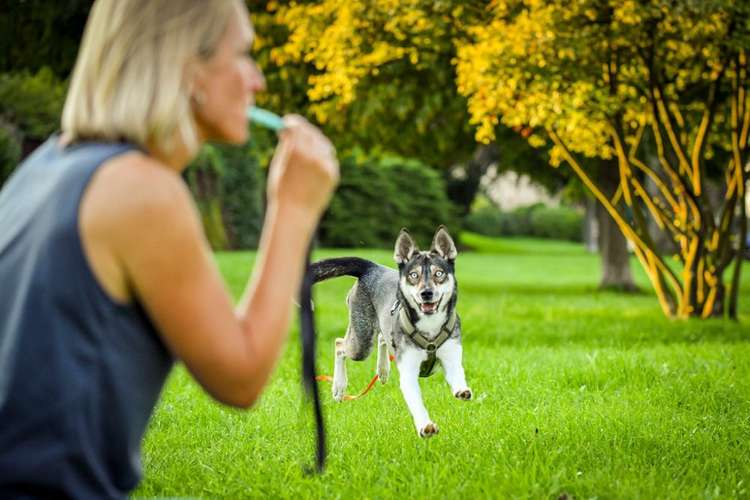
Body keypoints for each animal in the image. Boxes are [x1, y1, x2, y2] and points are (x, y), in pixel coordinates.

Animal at [312, 227, 470, 438]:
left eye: (439, 273)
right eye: (413, 275)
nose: (426, 294)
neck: (429, 326)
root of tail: (372, 267)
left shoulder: (452, 355)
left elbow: (457, 375)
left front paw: (462, 390)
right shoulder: (409, 373)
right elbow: (416, 403)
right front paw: (425, 426)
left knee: (382, 336)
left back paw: (383, 370)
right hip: (361, 341)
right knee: (339, 344)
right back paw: (339, 386)